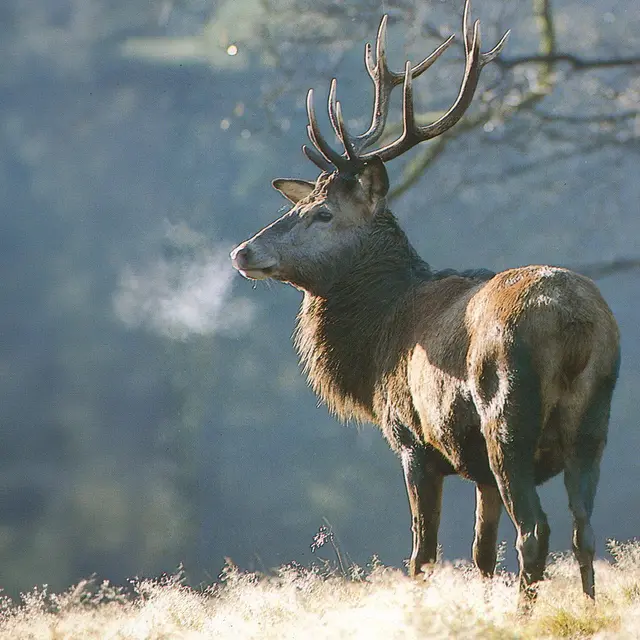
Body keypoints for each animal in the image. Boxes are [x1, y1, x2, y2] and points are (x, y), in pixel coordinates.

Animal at [230, 0, 620, 607]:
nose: (243, 251)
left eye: (323, 213)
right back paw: (583, 607)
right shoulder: (477, 471)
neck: (376, 342)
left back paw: (527, 612)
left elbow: (423, 556)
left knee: (536, 531)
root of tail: (576, 324)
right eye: (298, 205)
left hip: (508, 417)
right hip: (593, 425)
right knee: (584, 529)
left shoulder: (413, 442)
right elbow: (480, 554)